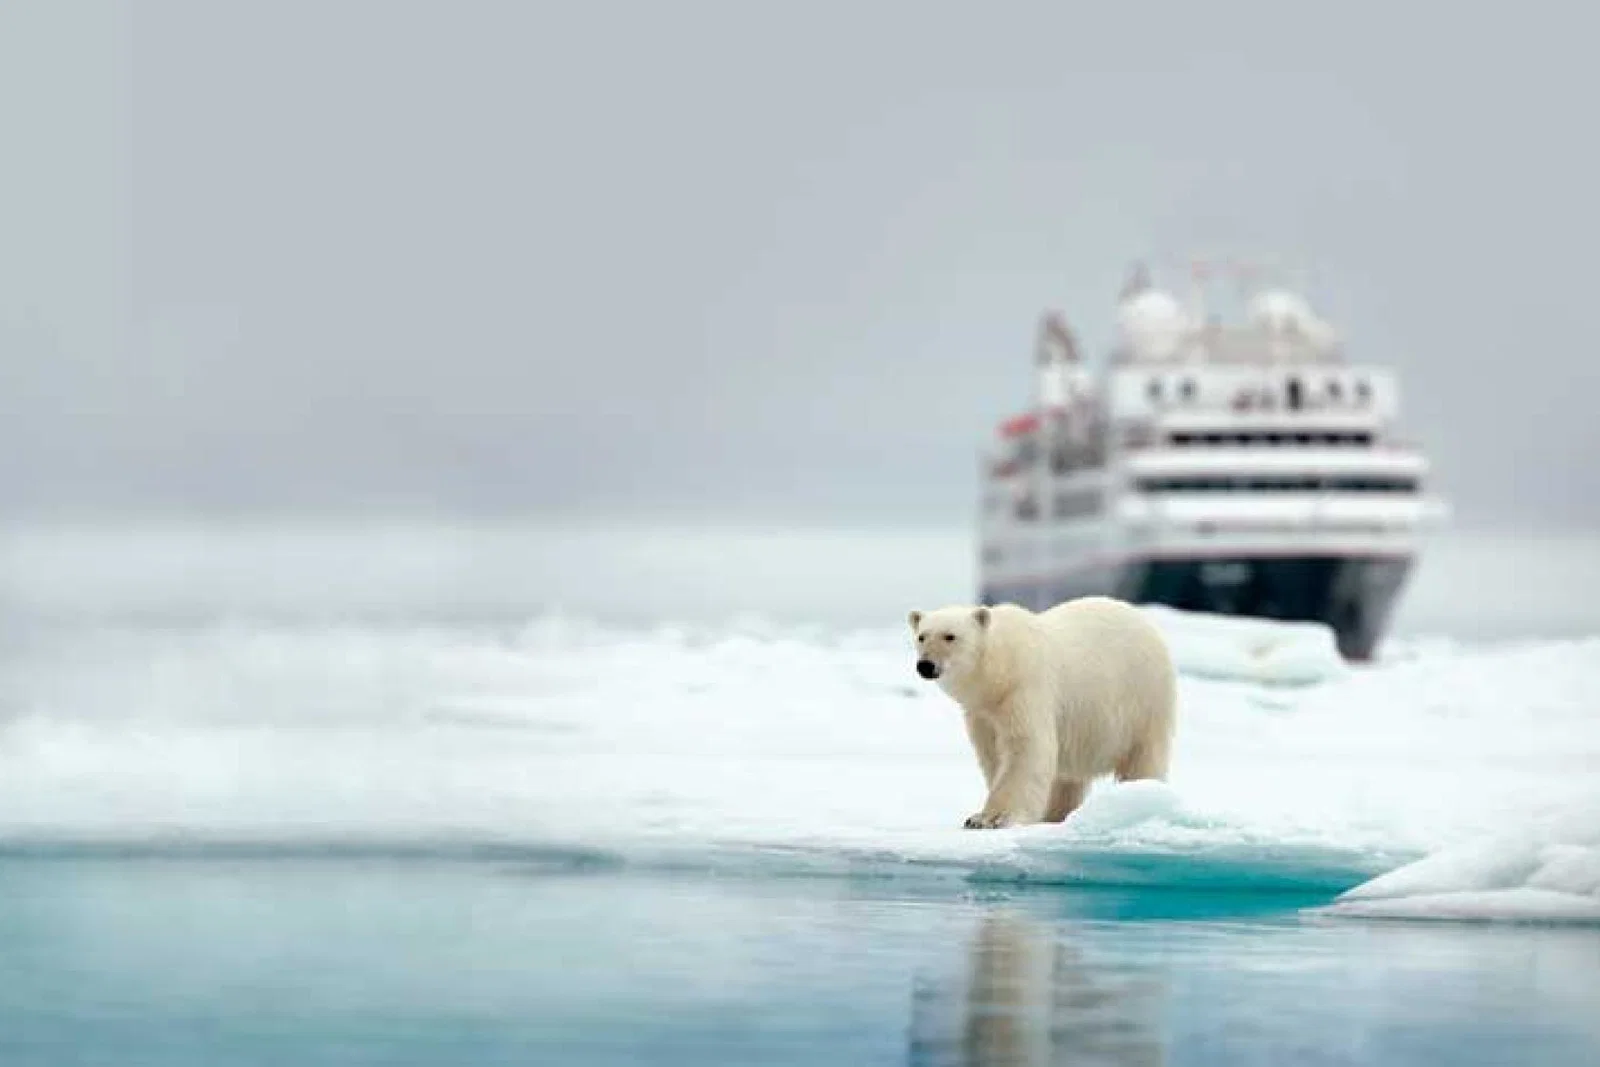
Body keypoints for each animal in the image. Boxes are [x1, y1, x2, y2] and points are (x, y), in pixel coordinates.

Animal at [908, 596, 1176, 830]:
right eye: (921, 636)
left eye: (950, 636)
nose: (925, 665)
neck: (998, 672)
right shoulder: (983, 712)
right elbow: (992, 753)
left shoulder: (1024, 688)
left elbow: (1025, 748)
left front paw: (989, 819)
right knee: (1066, 776)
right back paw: (1053, 815)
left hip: (1142, 699)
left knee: (1144, 756)